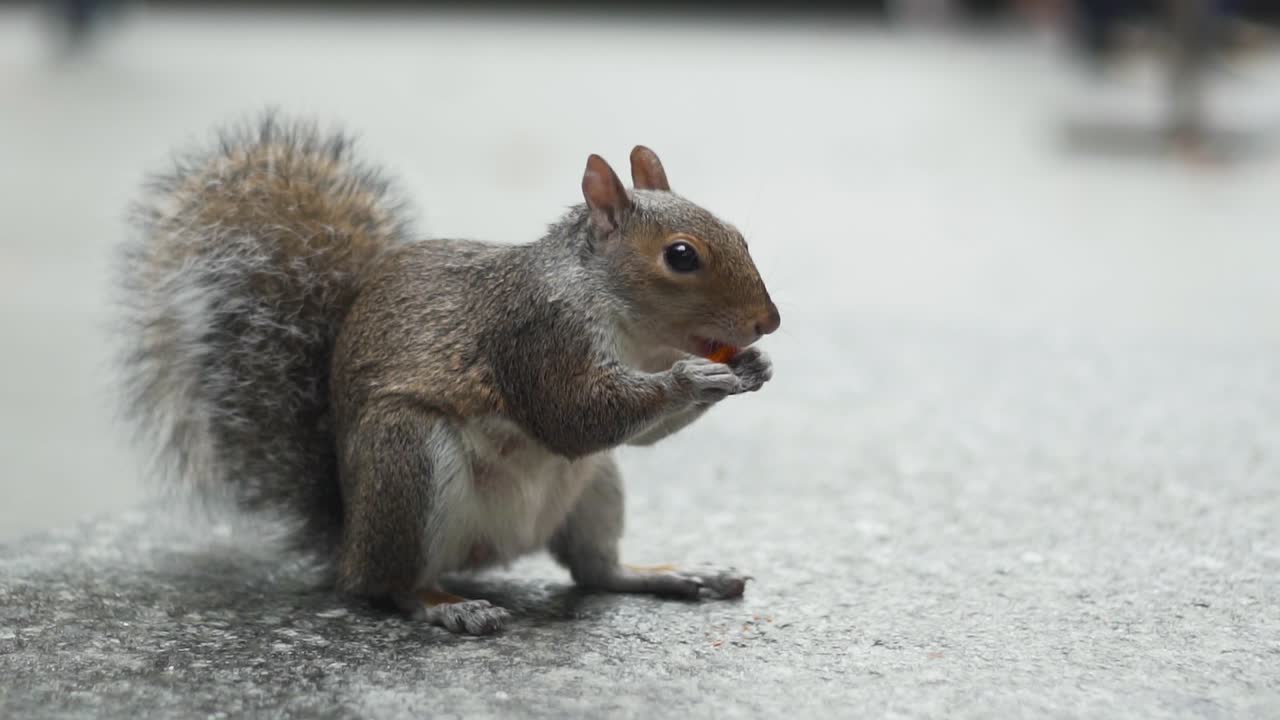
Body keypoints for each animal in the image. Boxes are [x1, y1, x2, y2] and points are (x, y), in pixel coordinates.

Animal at [118, 112, 781, 635]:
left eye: (739, 234)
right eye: (681, 255)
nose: (767, 322)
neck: (633, 328)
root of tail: (349, 537)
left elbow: (635, 434)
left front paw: (751, 369)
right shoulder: (536, 337)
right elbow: (571, 418)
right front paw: (691, 380)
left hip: (594, 484)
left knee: (595, 570)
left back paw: (674, 574)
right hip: (407, 461)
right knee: (387, 585)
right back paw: (446, 605)